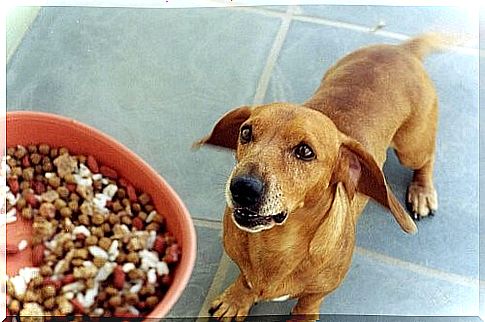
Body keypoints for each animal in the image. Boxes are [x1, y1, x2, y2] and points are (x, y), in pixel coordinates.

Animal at [193, 34, 446, 320]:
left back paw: (422, 191)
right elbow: (246, 280)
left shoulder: (321, 290)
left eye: (305, 151)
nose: (242, 188)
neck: (275, 244)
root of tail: (402, 50)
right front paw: (236, 299)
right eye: (245, 132)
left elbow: (308, 303)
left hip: (411, 148)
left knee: (428, 157)